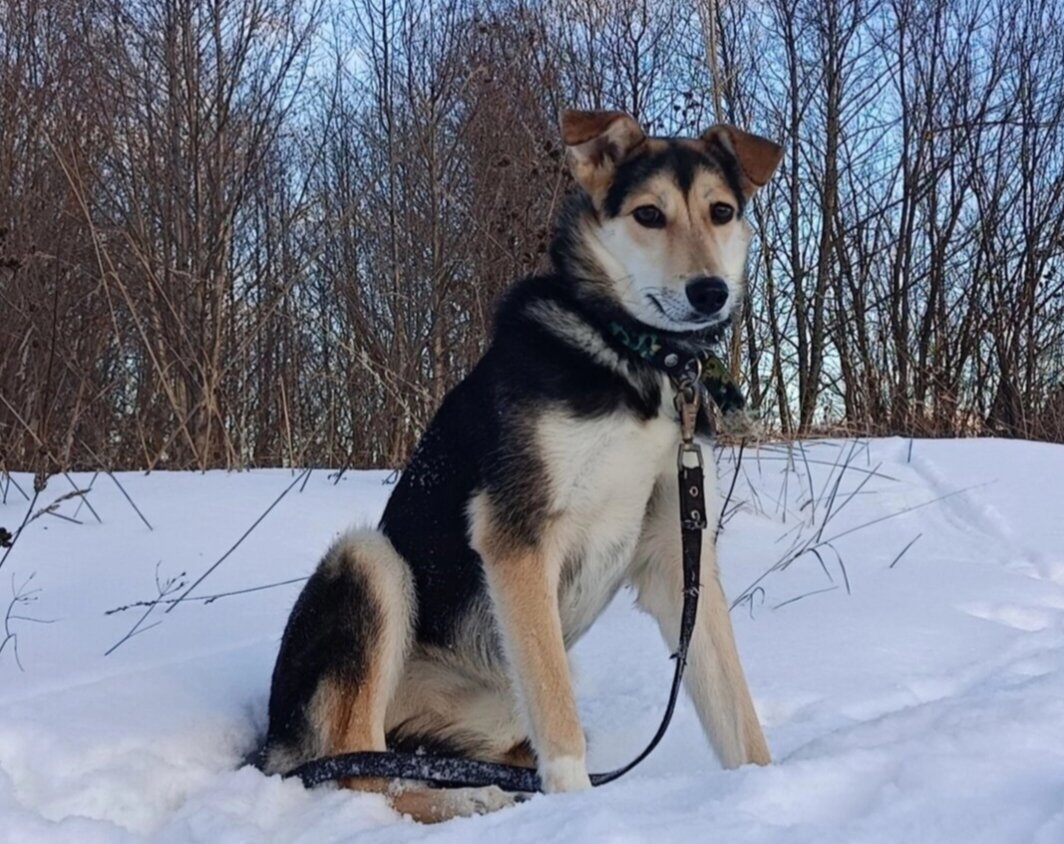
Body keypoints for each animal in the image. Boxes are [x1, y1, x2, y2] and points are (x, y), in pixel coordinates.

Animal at [261, 108, 787, 821]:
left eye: (722, 211)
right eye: (649, 215)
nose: (709, 292)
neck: (636, 359)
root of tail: (268, 742)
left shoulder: (679, 555)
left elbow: (736, 713)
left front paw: (769, 787)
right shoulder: (517, 535)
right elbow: (560, 727)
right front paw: (578, 815)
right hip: (369, 561)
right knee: (358, 774)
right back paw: (473, 801)